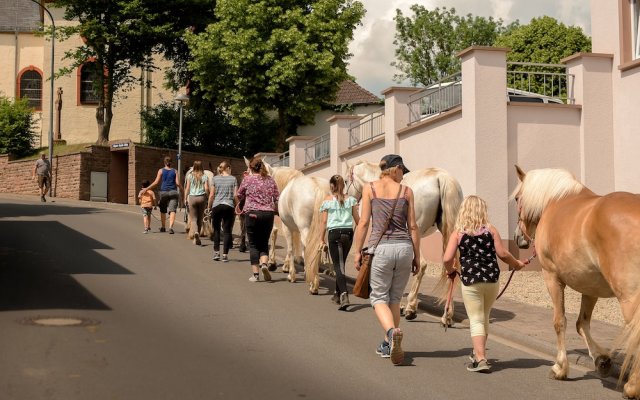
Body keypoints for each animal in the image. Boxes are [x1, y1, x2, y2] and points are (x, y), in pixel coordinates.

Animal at [348, 159, 462, 322]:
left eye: (346, 181)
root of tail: (442, 177)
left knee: (422, 265)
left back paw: (410, 308)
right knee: (452, 268)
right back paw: (447, 314)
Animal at [516, 164, 640, 398]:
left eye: (518, 198)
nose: (520, 239)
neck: (556, 201)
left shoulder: (551, 277)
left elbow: (560, 321)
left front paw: (560, 367)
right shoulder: (589, 287)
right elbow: (581, 323)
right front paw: (602, 360)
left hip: (629, 299)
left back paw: (632, 386)